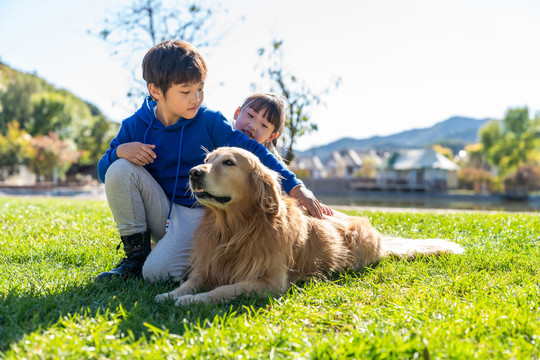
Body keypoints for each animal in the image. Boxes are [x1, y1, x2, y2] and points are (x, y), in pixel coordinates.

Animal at [156, 148, 464, 306]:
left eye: (228, 162)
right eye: (206, 161)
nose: (193, 173)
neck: (236, 229)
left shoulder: (269, 282)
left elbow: (222, 291)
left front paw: (192, 301)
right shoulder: (208, 266)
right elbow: (189, 283)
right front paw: (170, 294)